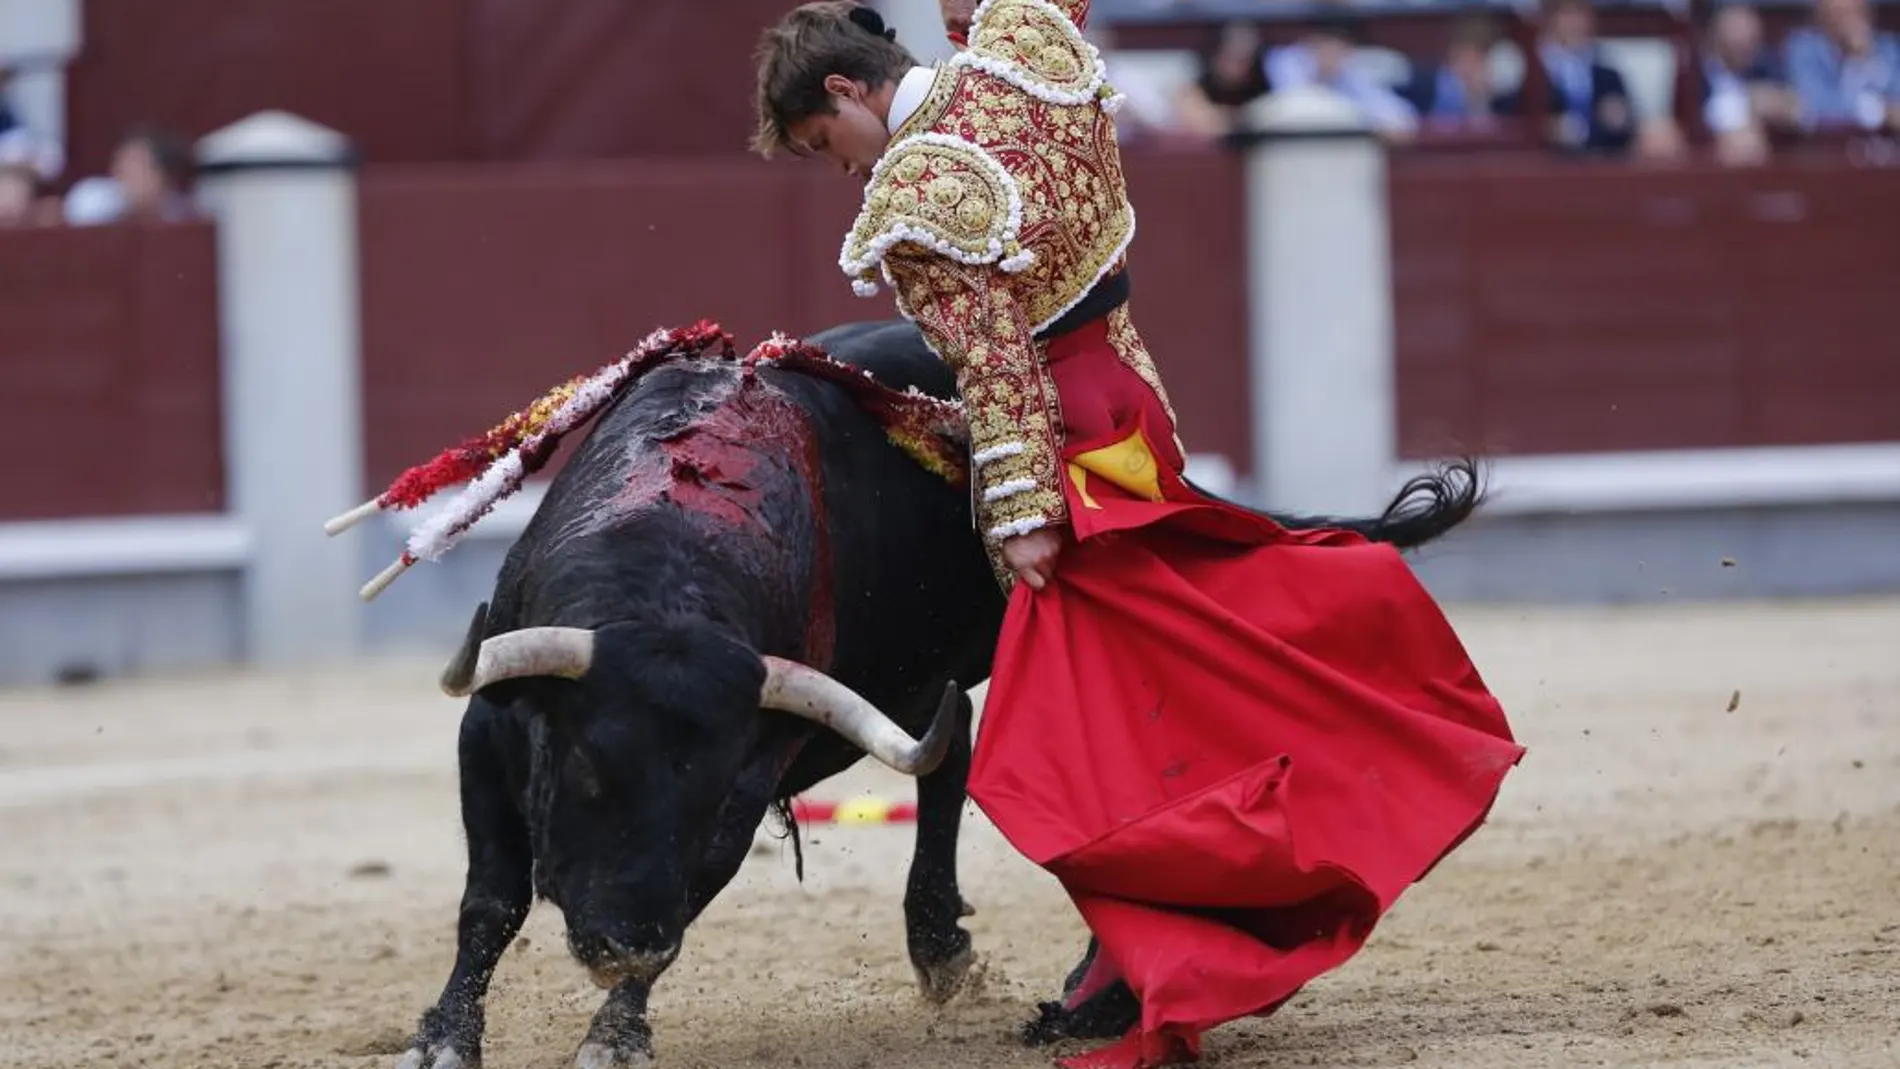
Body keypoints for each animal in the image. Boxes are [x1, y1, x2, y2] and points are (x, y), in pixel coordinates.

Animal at [393, 320, 1489, 1069]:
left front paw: (617, 1032)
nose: (623, 940)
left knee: (971, 763)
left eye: (715, 807)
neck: (671, 565)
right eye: (583, 767)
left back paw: (1056, 988)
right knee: (953, 748)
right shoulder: (487, 727)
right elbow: (489, 899)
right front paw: (444, 1037)